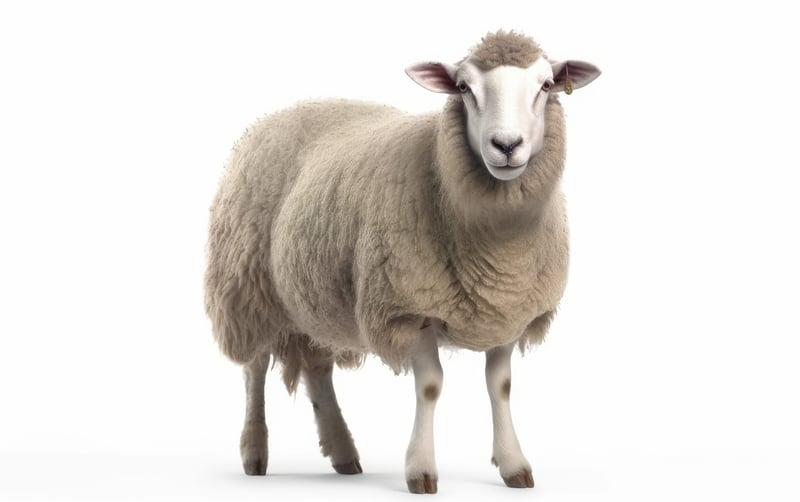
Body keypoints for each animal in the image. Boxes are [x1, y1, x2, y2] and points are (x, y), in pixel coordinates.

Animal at [205, 31, 600, 494]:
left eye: (545, 85)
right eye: (464, 88)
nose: (506, 146)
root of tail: (288, 110)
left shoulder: (509, 310)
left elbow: (500, 386)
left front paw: (513, 465)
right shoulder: (409, 306)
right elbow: (430, 387)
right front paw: (421, 470)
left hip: (315, 296)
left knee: (318, 370)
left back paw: (343, 453)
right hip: (247, 283)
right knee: (254, 368)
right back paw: (254, 451)